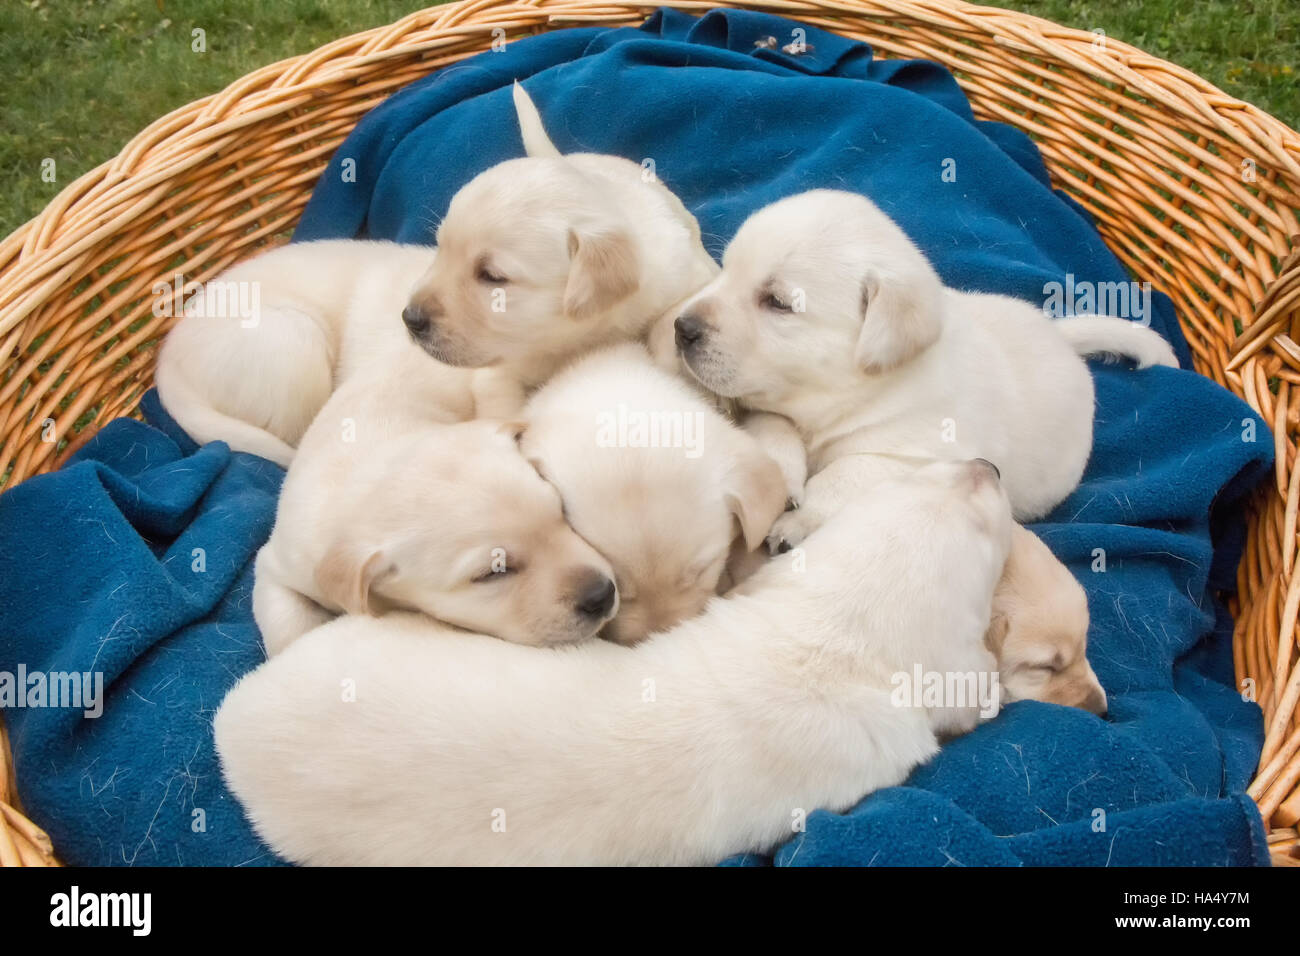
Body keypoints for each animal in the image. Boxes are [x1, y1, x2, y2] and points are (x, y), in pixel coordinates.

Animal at [400, 85, 717, 390]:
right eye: (440, 249)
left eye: (492, 276)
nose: (410, 318)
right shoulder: (502, 370)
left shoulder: (689, 276)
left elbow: (670, 319)